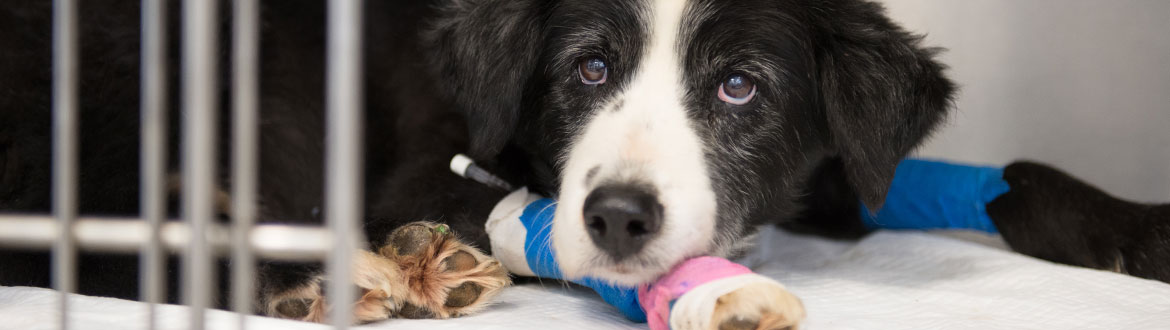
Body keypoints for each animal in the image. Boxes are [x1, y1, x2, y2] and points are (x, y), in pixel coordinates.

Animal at [0, 0, 1165, 327]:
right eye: (588, 67)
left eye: (740, 87)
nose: (619, 217)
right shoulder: (421, 168)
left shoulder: (839, 167)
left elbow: (1008, 168)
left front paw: (1138, 226)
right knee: (84, 237)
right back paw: (316, 277)